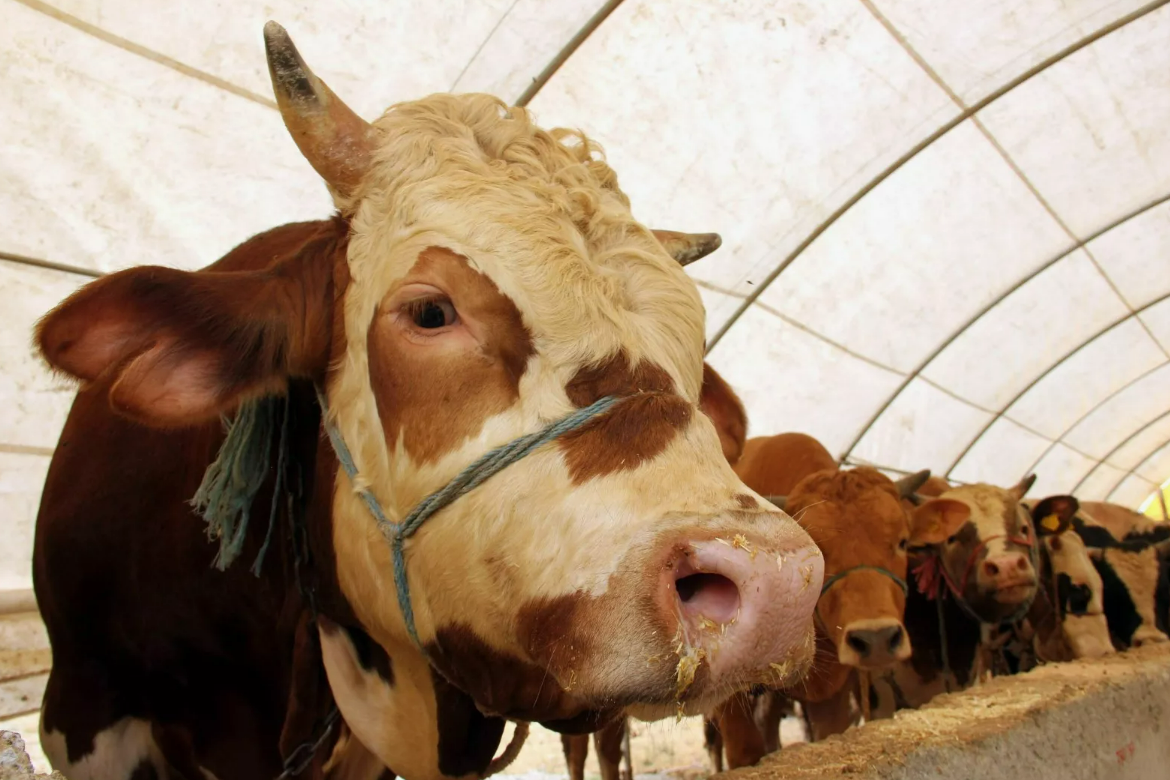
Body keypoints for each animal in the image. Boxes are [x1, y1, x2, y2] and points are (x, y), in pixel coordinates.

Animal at [697, 437, 964, 771]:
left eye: (902, 542)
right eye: (818, 550)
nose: (876, 639)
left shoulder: (833, 695)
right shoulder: (729, 701)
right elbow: (744, 753)